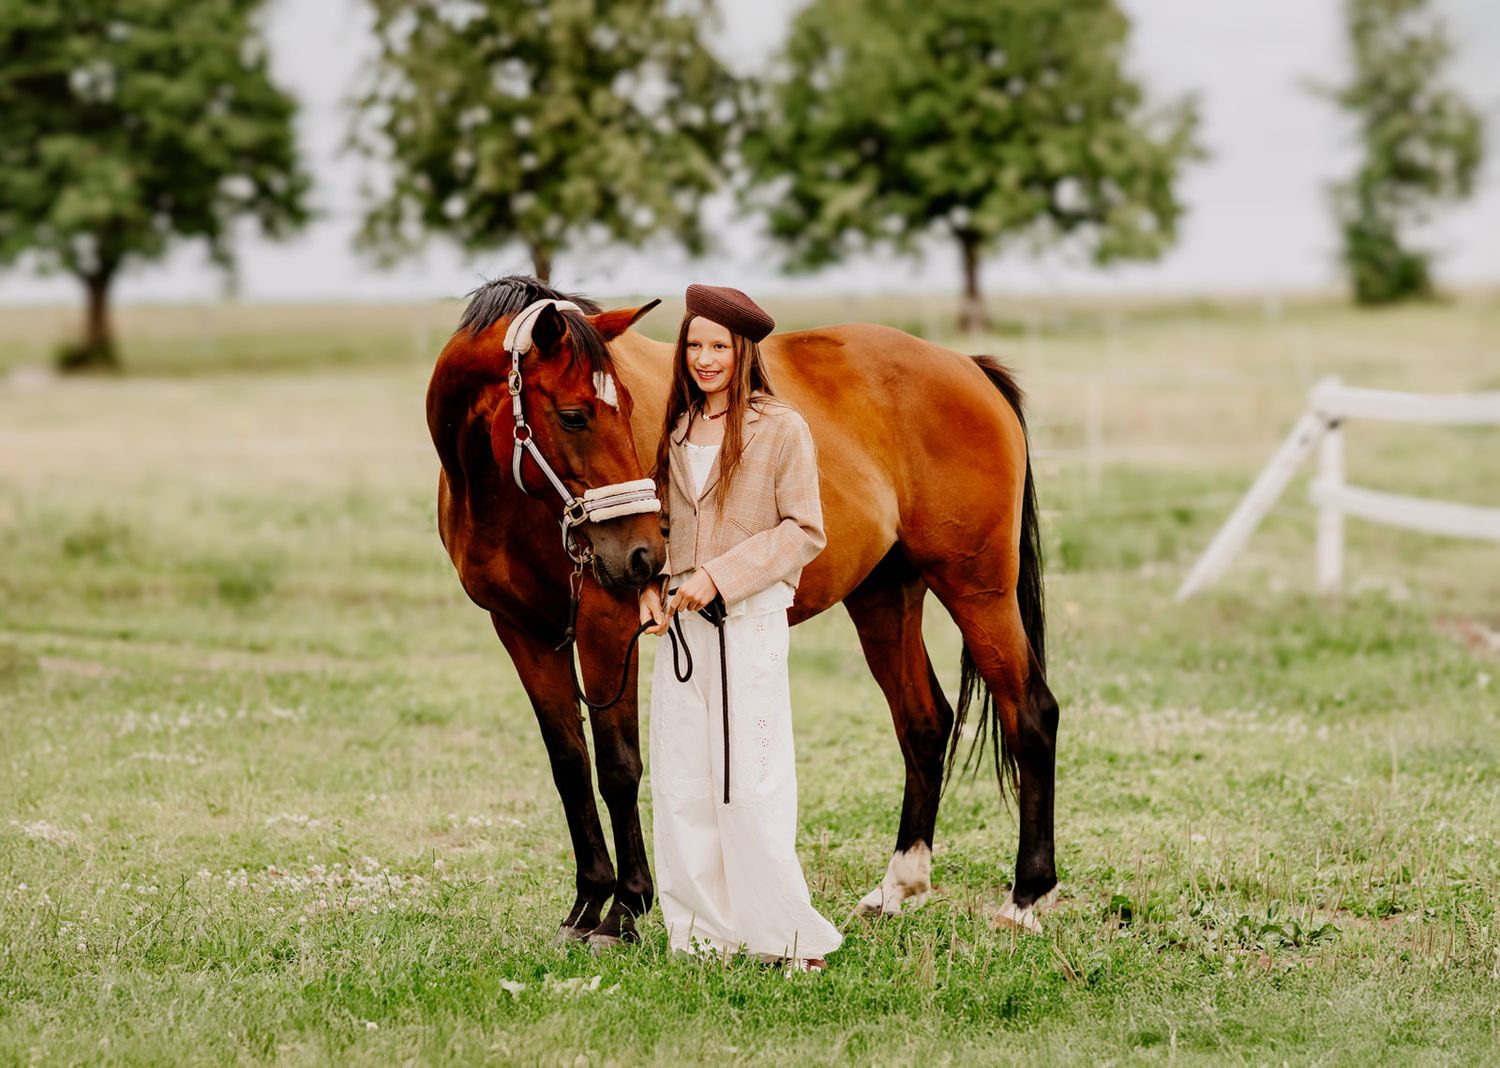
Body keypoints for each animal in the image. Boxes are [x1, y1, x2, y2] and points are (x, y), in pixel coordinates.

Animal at [427, 275, 1060, 946]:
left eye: (628, 407)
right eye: (573, 415)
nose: (645, 556)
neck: (504, 499)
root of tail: (968, 366)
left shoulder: (606, 627)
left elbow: (618, 766)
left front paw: (625, 911)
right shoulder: (522, 632)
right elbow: (569, 764)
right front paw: (586, 904)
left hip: (978, 589)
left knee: (1030, 714)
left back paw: (1025, 897)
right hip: (885, 596)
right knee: (925, 723)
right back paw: (898, 888)